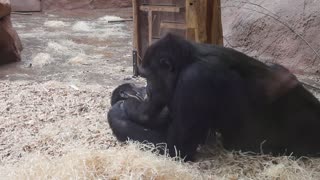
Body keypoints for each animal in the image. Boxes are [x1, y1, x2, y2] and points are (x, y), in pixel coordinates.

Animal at [109, 33, 320, 162]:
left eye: (148, 76)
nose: (148, 90)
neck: (188, 61)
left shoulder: (194, 80)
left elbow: (177, 148)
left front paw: (120, 110)